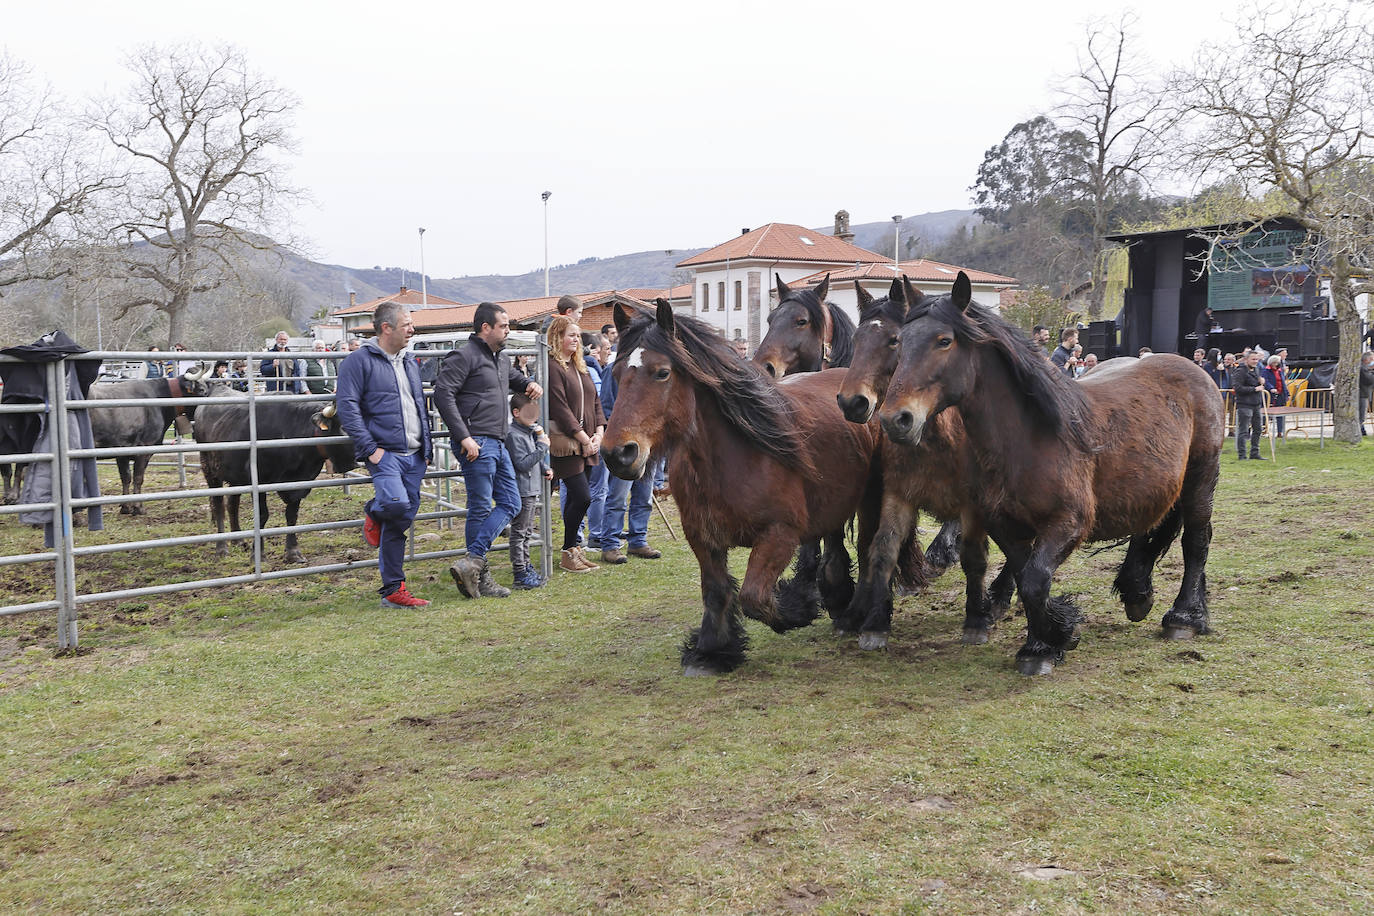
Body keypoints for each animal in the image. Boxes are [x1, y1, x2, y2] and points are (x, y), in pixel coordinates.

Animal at [87, 373, 208, 516]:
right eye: (201, 390)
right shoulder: (144, 450)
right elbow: (138, 478)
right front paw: (138, 507)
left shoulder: (121, 452)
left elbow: (126, 477)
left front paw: (125, 507)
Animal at [199, 398, 362, 563]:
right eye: (344, 427)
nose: (356, 462)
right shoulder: (259, 481)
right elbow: (262, 515)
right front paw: (258, 555)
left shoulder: (300, 483)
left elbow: (292, 515)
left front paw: (293, 552)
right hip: (209, 469)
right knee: (218, 506)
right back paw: (221, 549)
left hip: (235, 477)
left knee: (232, 504)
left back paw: (238, 540)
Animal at [607, 300, 884, 672]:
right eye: (616, 375)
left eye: (661, 372)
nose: (617, 454)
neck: (729, 460)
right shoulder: (702, 537)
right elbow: (716, 590)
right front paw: (712, 650)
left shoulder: (779, 535)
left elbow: (753, 596)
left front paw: (797, 610)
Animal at [835, 277, 1022, 645]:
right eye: (857, 340)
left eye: (893, 340)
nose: (852, 402)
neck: (937, 438)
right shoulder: (897, 494)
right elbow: (882, 549)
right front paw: (874, 622)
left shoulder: (974, 505)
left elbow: (973, 556)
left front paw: (976, 619)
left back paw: (999, 598)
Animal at [879, 270, 1225, 672]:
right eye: (900, 343)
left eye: (944, 341)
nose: (895, 419)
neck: (1030, 439)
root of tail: (1192, 369)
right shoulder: (1006, 527)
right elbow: (1026, 577)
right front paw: (1041, 643)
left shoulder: (1068, 524)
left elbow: (1035, 581)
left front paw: (1056, 637)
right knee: (1149, 530)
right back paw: (1141, 595)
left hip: (1201, 478)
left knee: (1196, 541)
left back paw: (1184, 617)